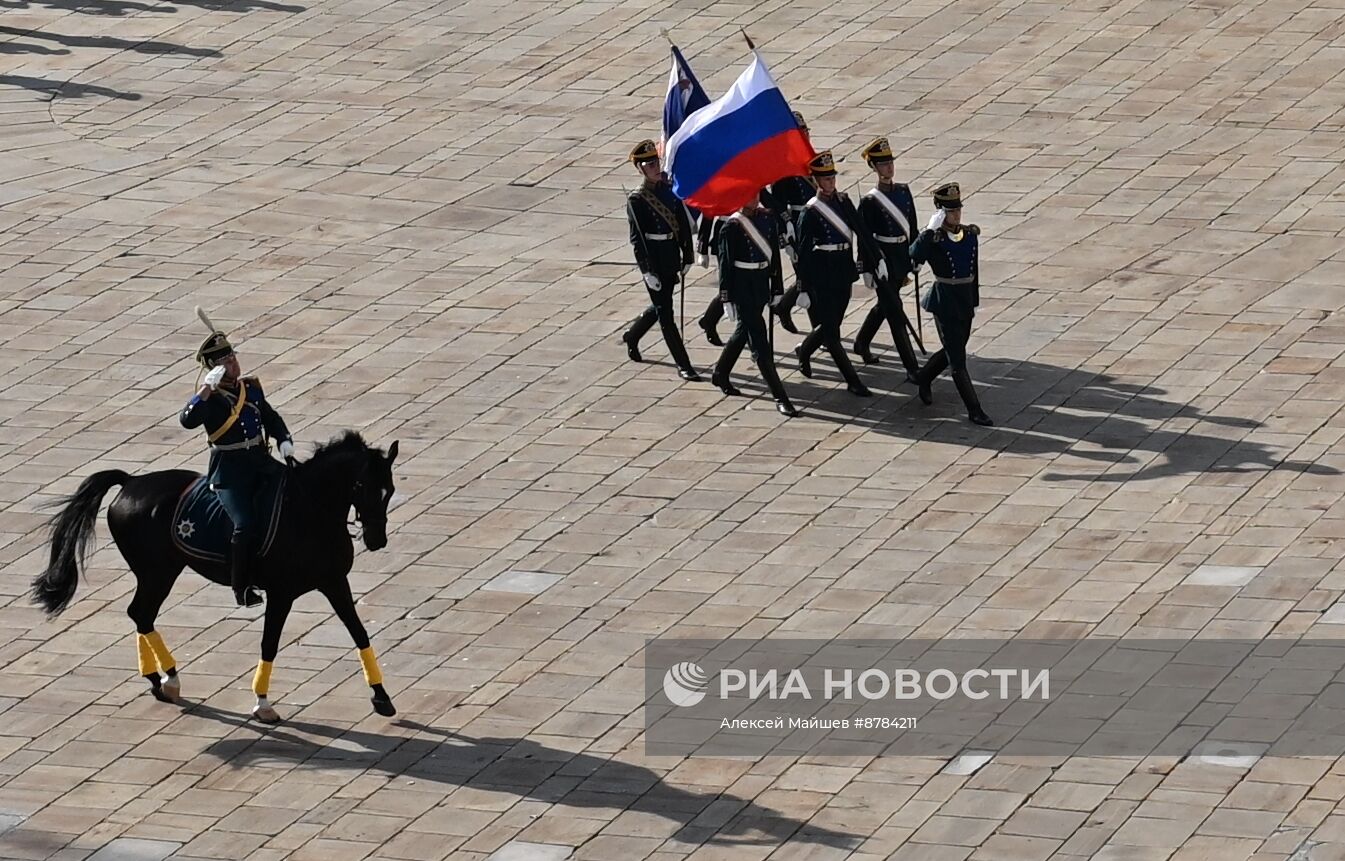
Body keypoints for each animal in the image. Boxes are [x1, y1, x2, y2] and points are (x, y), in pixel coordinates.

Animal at [30, 427, 398, 721]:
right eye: (362, 486)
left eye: (390, 490)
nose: (377, 540)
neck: (309, 511)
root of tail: (131, 482)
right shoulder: (281, 593)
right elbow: (269, 643)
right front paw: (262, 703)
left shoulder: (334, 582)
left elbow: (360, 634)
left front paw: (382, 697)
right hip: (157, 572)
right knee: (141, 613)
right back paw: (165, 680)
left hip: (160, 572)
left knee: (141, 614)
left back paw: (163, 680)